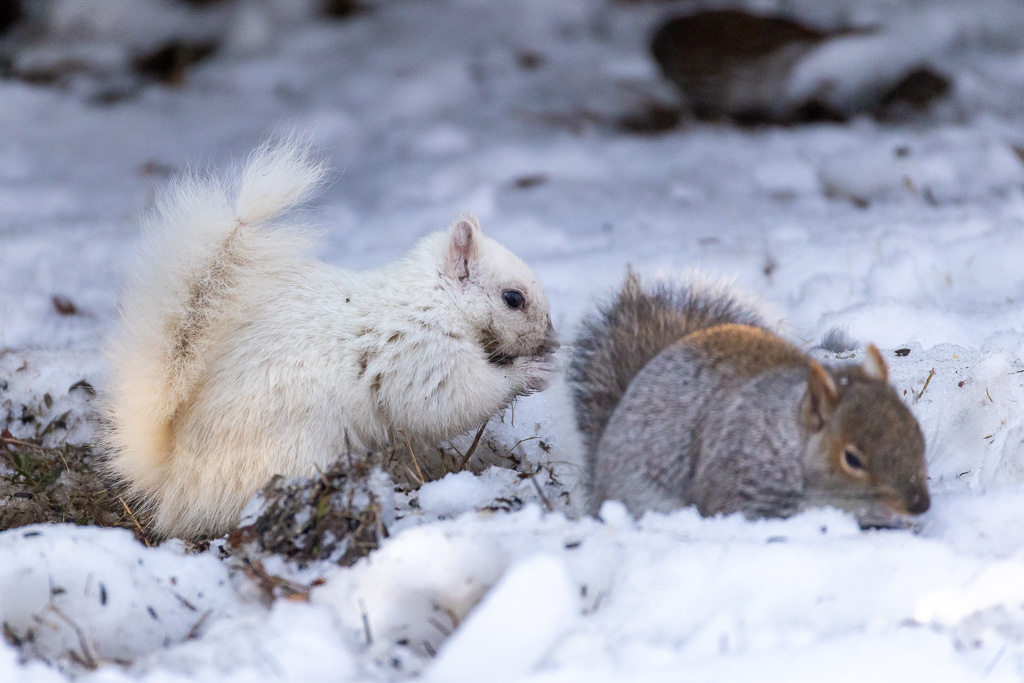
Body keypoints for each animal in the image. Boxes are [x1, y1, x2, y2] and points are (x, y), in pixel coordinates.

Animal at [101, 143, 561, 540]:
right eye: (513, 298)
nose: (552, 343)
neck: (433, 299)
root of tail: (175, 479)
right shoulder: (420, 355)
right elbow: (455, 401)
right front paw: (531, 373)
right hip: (297, 450)